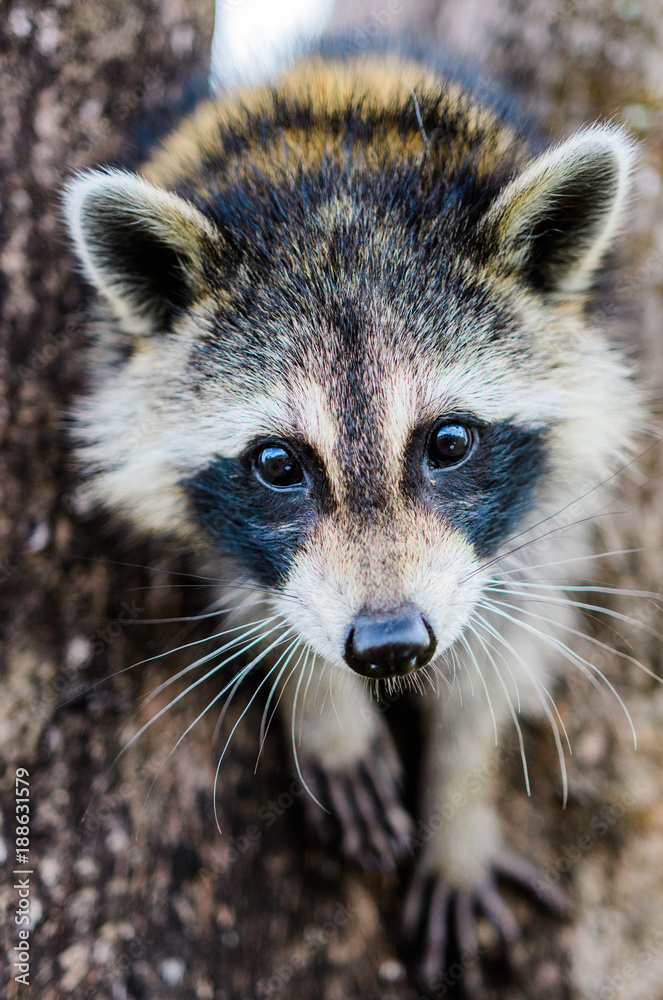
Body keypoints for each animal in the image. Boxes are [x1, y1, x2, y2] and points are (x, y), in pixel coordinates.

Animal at [65, 50, 640, 988]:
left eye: (448, 441)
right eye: (277, 465)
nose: (389, 644)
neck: (342, 182)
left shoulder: (547, 497)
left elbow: (510, 634)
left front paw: (459, 794)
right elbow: (250, 587)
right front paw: (318, 697)